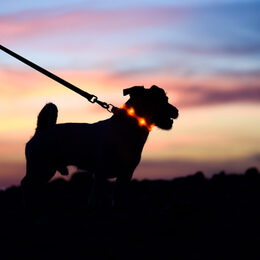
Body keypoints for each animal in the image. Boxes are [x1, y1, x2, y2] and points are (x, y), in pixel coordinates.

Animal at [21, 86, 179, 208]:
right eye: (162, 100)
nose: (177, 111)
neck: (129, 127)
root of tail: (41, 130)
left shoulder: (125, 175)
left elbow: (118, 199)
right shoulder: (100, 175)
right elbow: (95, 199)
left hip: (45, 171)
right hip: (40, 168)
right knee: (26, 185)